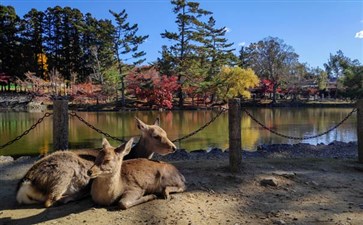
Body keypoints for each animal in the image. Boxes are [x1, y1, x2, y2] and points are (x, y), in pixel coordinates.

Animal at [15, 118, 178, 207]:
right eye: (156, 136)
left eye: (165, 132)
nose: (174, 147)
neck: (132, 154)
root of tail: (25, 184)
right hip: (63, 174)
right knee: (51, 200)